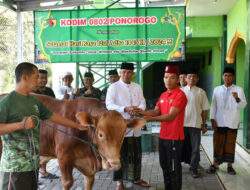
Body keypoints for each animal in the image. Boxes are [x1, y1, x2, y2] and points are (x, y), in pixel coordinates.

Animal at [0, 94, 146, 190]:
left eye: (123, 134)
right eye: (101, 134)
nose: (114, 164)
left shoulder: (88, 169)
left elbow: (89, 182)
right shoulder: (64, 158)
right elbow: (67, 183)